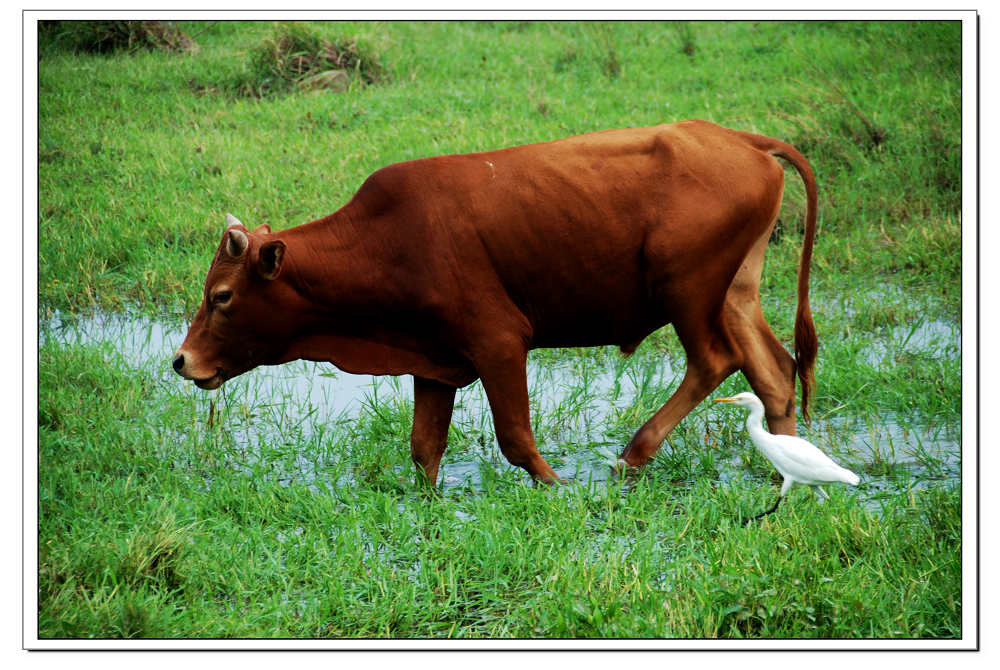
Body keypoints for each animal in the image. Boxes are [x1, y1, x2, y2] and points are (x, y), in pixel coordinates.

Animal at [172, 121, 816, 486]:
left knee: (715, 361)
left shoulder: (500, 341)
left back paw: (632, 456)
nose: (182, 361)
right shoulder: (434, 362)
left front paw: (559, 488)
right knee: (774, 373)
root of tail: (741, 139)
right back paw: (789, 472)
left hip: (686, 289)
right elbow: (424, 450)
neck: (387, 240)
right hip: (734, 292)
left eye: (222, 296)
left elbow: (515, 439)